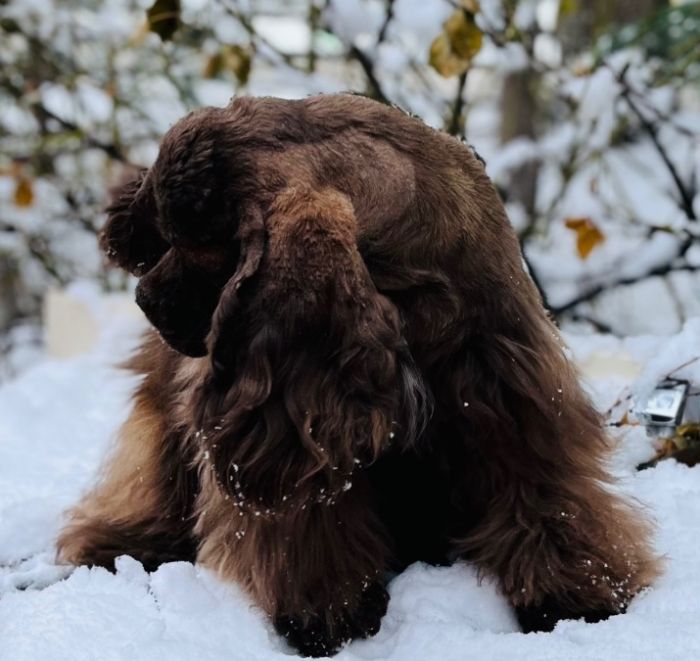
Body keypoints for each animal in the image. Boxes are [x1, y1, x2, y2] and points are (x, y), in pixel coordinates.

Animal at [57, 93, 660, 656]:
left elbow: (542, 498)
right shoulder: (298, 427)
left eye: (204, 246)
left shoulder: (509, 397)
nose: (147, 299)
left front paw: (577, 595)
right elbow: (312, 520)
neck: (407, 297)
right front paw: (328, 616)